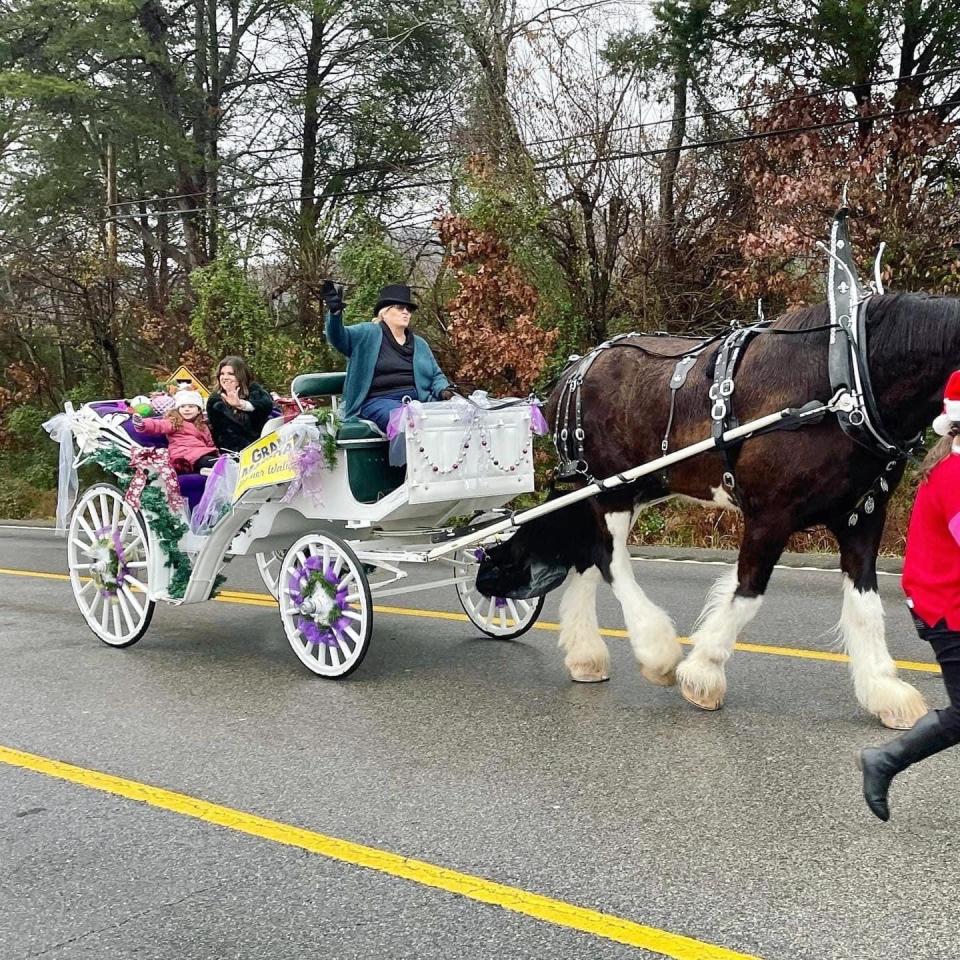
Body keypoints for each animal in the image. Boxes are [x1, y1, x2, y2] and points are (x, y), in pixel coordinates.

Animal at [480, 292, 960, 728]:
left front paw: (885, 690)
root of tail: (574, 371)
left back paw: (586, 656)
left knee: (587, 557)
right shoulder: (770, 515)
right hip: (611, 489)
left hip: (627, 489)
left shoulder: (863, 517)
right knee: (608, 558)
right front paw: (702, 673)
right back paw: (657, 652)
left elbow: (865, 606)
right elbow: (747, 591)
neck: (846, 383)